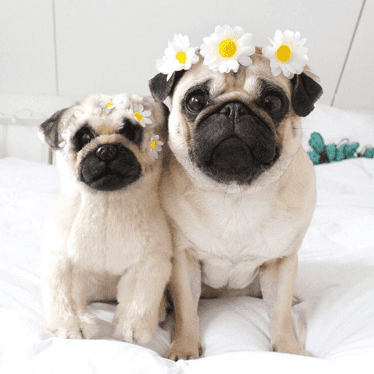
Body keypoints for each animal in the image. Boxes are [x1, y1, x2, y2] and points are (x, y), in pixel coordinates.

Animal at [38, 92, 172, 344]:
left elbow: (138, 303)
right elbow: (67, 301)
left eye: (130, 132)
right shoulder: (65, 264)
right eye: (84, 137)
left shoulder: (147, 265)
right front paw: (74, 326)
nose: (107, 150)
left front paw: (132, 330)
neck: (107, 205)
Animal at [148, 47, 322, 360]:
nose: (233, 109)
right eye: (195, 101)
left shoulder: (281, 263)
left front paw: (290, 351)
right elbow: (187, 311)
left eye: (273, 102)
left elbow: (279, 315)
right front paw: (184, 348)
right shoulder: (184, 261)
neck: (235, 192)